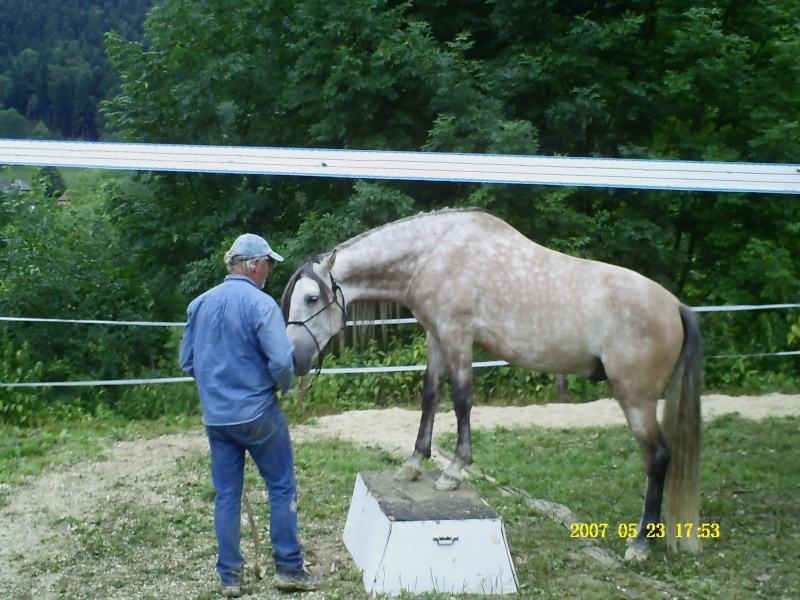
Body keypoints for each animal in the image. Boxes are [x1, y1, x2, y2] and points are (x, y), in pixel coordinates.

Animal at [280, 207, 700, 564]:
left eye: (312, 297)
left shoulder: (458, 336)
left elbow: (462, 400)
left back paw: (640, 544)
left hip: (636, 399)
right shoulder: (436, 337)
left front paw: (454, 470)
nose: (295, 358)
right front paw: (414, 463)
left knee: (658, 458)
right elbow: (430, 396)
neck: (436, 252)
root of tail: (675, 306)